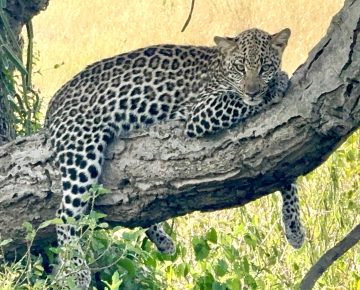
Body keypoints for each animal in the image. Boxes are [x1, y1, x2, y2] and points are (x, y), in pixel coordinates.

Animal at [44, 26, 304, 288]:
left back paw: (162, 240)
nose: (252, 91)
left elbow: (288, 176)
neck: (221, 68)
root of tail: (53, 102)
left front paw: (294, 228)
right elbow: (237, 100)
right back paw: (77, 270)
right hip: (82, 150)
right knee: (64, 215)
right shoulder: (200, 114)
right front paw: (278, 83)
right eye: (240, 67)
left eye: (265, 67)